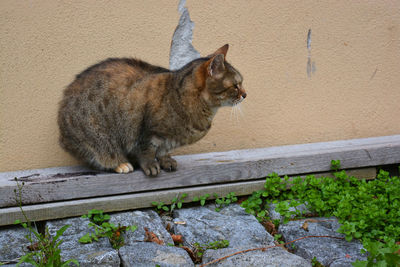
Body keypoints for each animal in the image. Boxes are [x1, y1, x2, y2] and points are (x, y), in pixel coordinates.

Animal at [58, 45, 247, 177]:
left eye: (241, 83)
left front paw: (165, 160)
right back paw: (120, 163)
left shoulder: (168, 139)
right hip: (97, 135)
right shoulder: (147, 132)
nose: (245, 94)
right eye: (236, 85)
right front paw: (150, 164)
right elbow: (147, 150)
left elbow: (163, 151)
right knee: (100, 155)